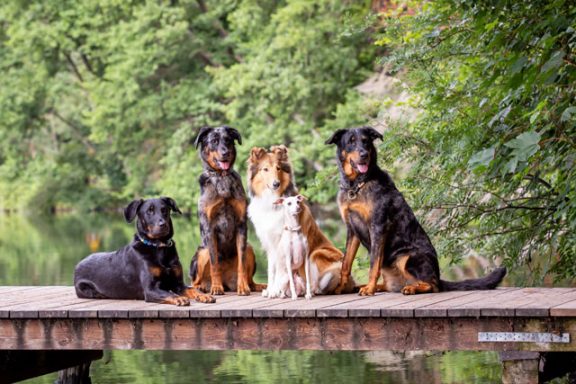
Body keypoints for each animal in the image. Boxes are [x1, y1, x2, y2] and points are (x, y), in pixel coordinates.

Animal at [74, 198, 214, 306]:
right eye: (149, 211)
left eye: (165, 210)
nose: (163, 224)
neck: (159, 247)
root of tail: (78, 264)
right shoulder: (150, 289)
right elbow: (167, 293)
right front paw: (179, 298)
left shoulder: (178, 284)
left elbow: (192, 290)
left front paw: (203, 296)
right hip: (84, 287)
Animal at [189, 126, 264, 296]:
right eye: (214, 141)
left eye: (228, 140)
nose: (225, 153)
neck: (221, 177)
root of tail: (227, 282)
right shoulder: (210, 229)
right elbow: (214, 263)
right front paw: (216, 287)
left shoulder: (241, 226)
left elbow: (242, 264)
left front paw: (243, 287)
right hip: (202, 252)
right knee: (194, 282)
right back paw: (205, 287)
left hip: (250, 248)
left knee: (250, 277)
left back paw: (255, 285)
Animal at [326, 127, 506, 296]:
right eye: (351, 141)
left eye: (366, 141)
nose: (364, 155)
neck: (356, 185)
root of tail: (438, 276)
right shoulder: (352, 229)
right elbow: (346, 263)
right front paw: (341, 288)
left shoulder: (377, 226)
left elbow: (373, 264)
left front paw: (369, 289)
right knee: (392, 285)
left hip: (407, 257)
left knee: (432, 286)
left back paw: (410, 288)